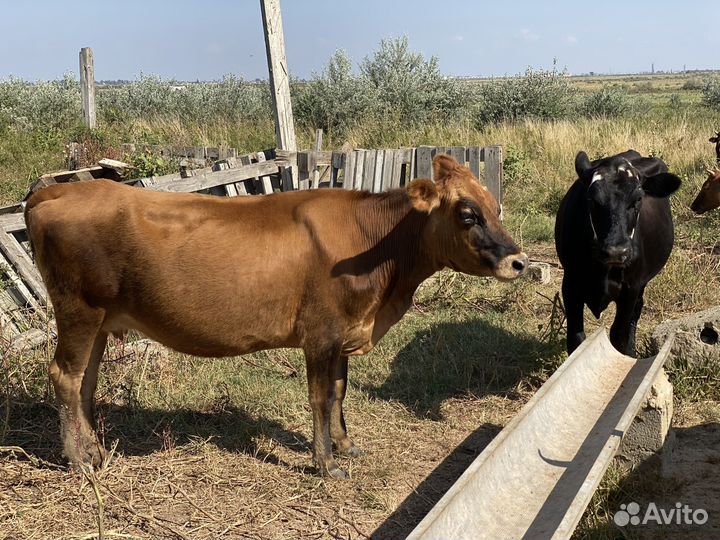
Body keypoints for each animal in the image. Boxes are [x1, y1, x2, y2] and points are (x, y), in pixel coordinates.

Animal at [24, 154, 528, 479]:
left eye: (496, 206)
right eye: (467, 214)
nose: (519, 261)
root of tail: (55, 190)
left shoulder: (343, 334)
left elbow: (341, 392)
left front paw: (347, 447)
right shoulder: (321, 334)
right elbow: (321, 398)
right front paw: (326, 465)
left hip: (99, 321)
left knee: (86, 380)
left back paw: (95, 451)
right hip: (79, 311)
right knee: (65, 376)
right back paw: (78, 460)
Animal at [555, 150, 681, 357]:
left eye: (638, 199)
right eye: (591, 200)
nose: (616, 251)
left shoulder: (631, 288)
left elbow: (619, 335)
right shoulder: (571, 283)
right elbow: (576, 338)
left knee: (636, 313)